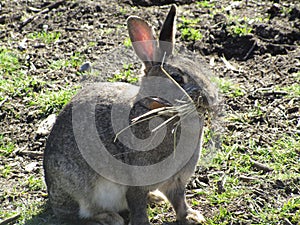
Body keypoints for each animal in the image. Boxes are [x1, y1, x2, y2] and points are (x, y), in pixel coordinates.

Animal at [42, 3, 218, 225]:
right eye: (177, 77)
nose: (210, 98)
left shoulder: (177, 181)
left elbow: (179, 201)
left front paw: (192, 217)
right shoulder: (135, 184)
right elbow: (138, 206)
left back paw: (155, 198)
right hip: (78, 186)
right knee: (76, 215)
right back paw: (109, 218)